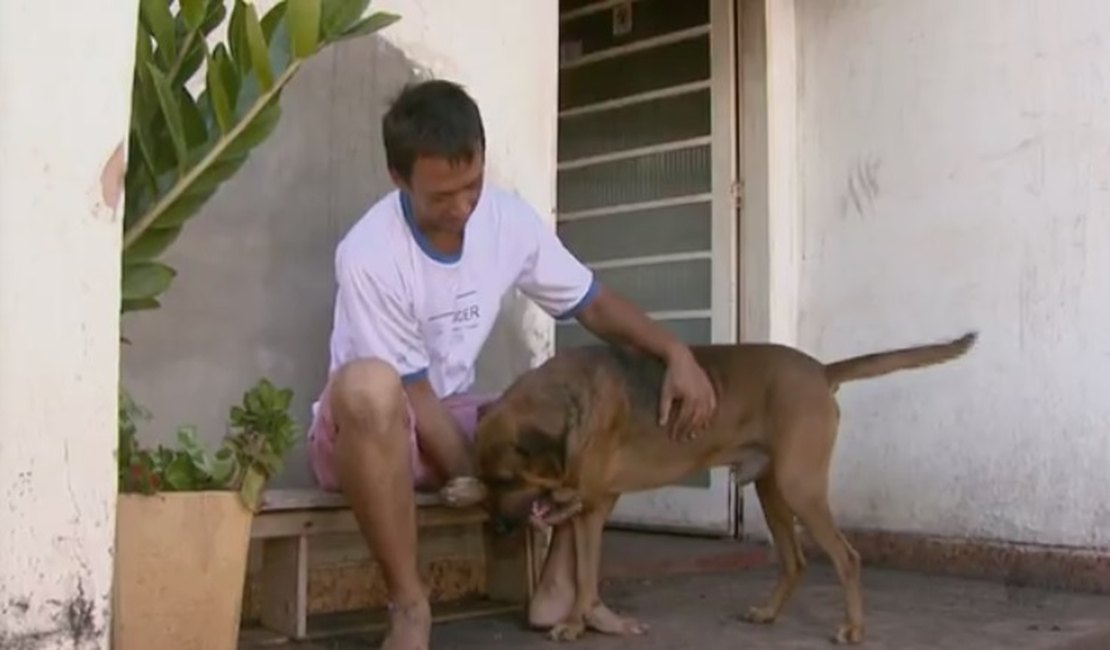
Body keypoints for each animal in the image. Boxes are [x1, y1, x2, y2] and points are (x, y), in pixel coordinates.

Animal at [472, 334, 976, 643]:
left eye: (507, 479)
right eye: (484, 480)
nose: (498, 529)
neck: (567, 402)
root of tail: (820, 370)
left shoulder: (591, 505)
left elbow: (583, 576)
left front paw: (575, 625)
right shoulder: (588, 509)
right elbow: (584, 576)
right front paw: (579, 622)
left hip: (800, 487)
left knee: (846, 557)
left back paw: (853, 629)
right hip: (772, 490)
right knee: (794, 560)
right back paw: (768, 613)